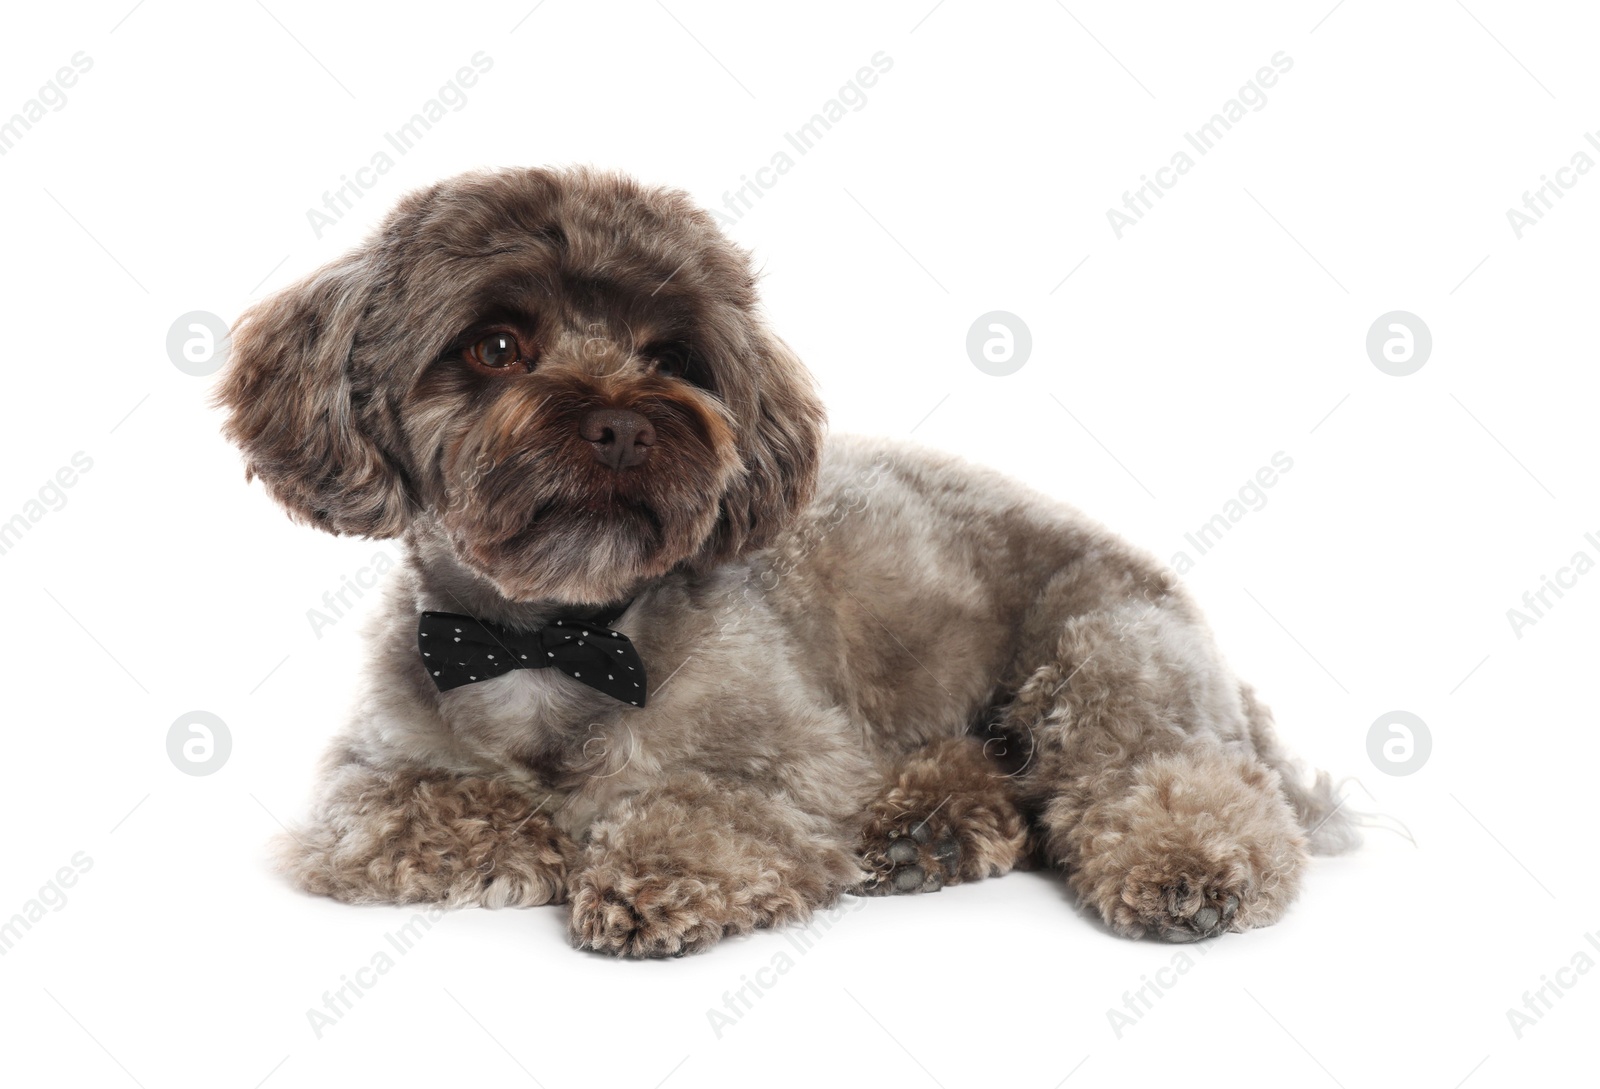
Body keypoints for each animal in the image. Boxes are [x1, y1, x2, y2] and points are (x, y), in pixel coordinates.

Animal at [219, 165, 1356, 953]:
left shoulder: (799, 760)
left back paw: (1177, 863)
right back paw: (930, 826)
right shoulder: (365, 779)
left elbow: (709, 803)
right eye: (494, 346)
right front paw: (523, 836)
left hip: (1101, 663)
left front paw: (645, 866)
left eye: (672, 356)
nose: (622, 424)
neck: (562, 636)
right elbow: (421, 809)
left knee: (1177, 780)